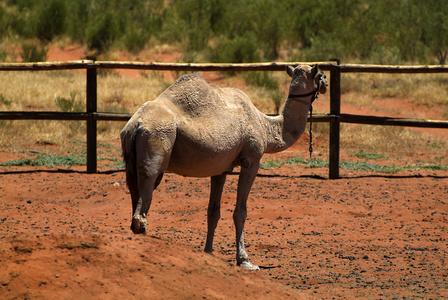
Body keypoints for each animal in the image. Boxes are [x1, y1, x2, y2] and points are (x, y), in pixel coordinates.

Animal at [121, 64, 328, 270]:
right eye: (319, 74)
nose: (326, 83)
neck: (265, 126)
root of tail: (136, 125)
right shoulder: (251, 160)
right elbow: (240, 212)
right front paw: (245, 260)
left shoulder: (220, 169)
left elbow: (213, 212)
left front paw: (208, 251)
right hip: (157, 140)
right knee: (144, 195)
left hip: (130, 158)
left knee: (135, 194)